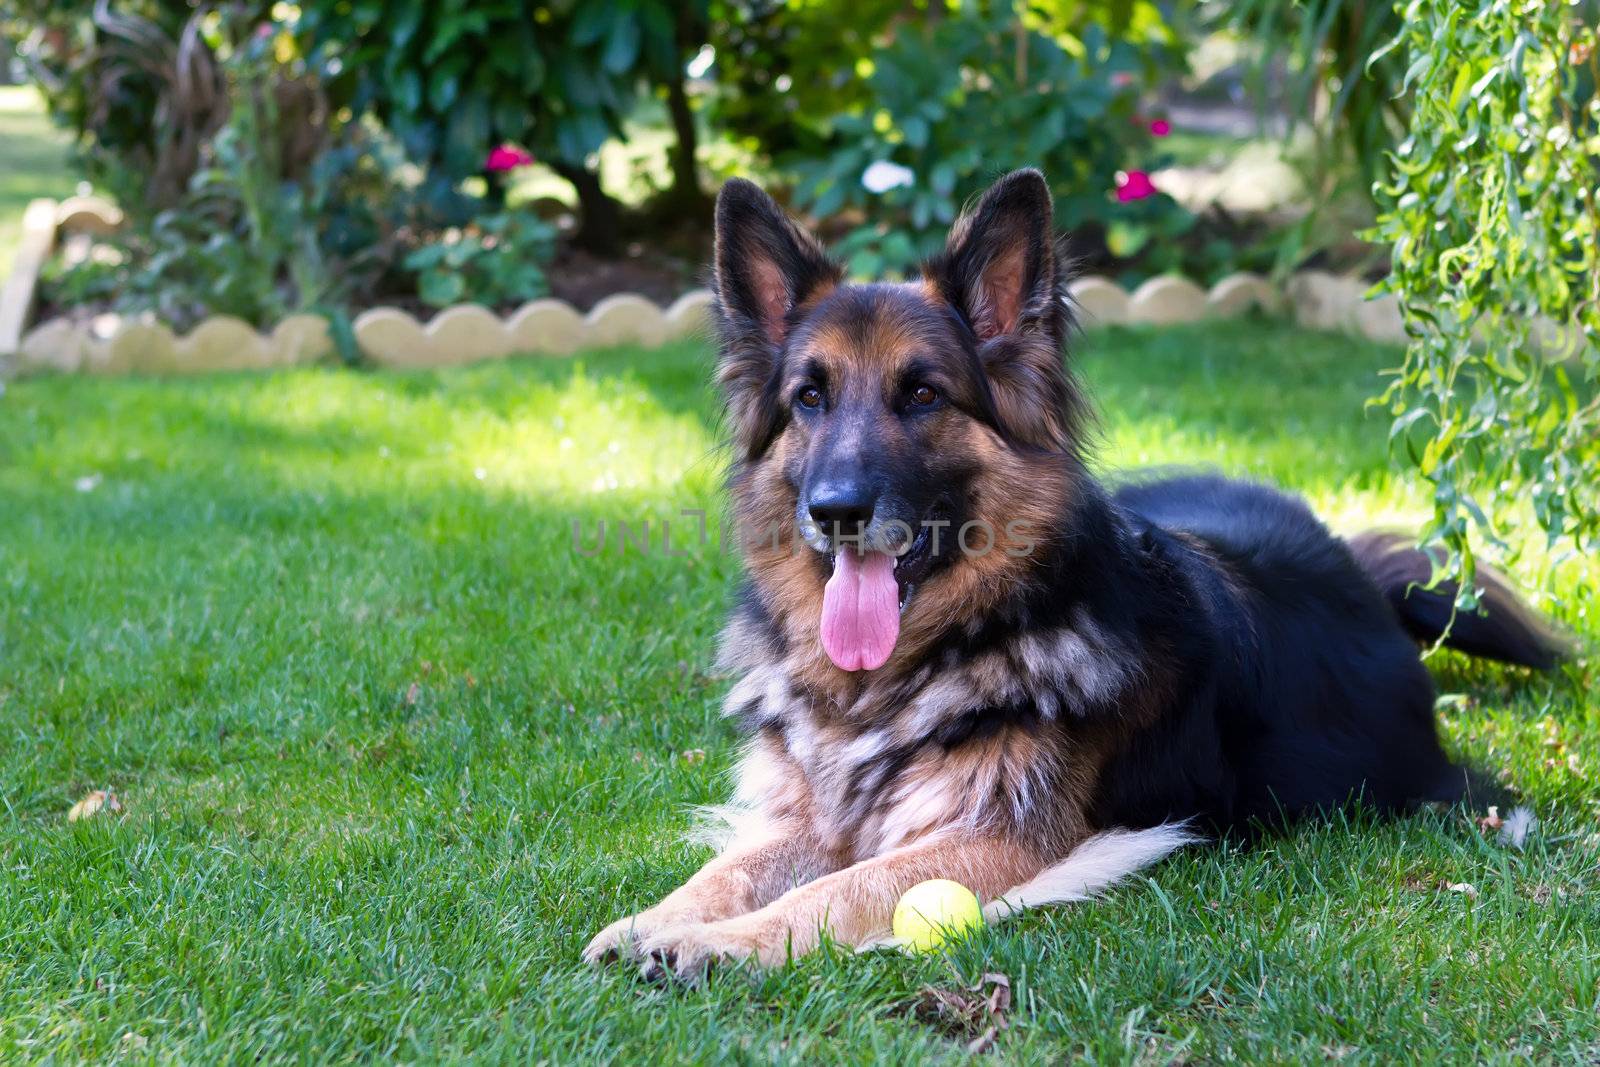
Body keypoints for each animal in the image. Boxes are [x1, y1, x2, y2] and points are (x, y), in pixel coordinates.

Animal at [582, 171, 1555, 979]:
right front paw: (654, 920)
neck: (902, 678)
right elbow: (728, 867)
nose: (836, 510)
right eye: (808, 399)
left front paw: (722, 943)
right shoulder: (811, 814)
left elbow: (835, 891)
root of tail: (1354, 569)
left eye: (923, 394)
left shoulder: (998, 839)